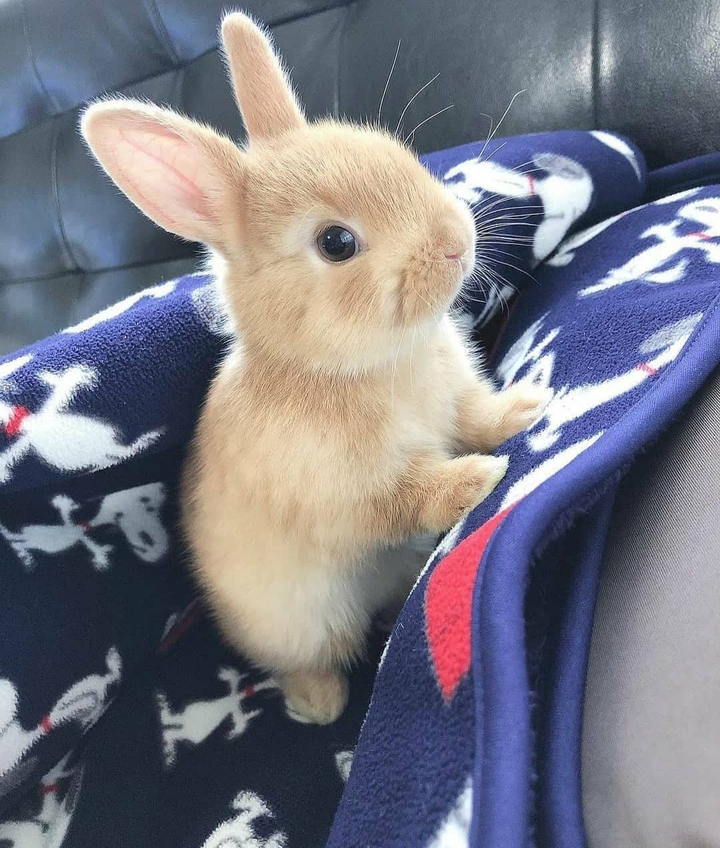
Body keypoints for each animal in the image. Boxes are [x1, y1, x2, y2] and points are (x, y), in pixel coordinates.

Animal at [80, 12, 550, 724]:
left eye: (400, 156)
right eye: (336, 243)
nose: (456, 241)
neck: (344, 366)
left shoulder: (457, 400)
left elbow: (480, 416)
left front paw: (529, 406)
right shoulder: (345, 494)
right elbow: (409, 495)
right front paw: (478, 479)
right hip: (298, 623)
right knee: (307, 659)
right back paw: (318, 705)